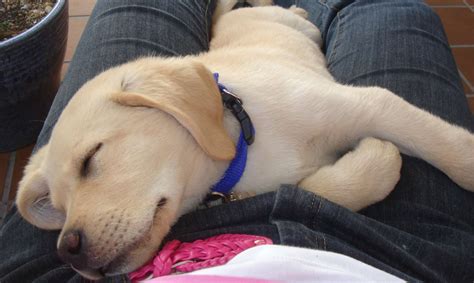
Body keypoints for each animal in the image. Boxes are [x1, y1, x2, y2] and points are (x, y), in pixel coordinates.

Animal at [14, 0, 474, 280]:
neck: (244, 143)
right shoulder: (277, 188)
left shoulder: (369, 103)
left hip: (297, 28)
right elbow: (321, 189)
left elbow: (437, 140)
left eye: (91, 158)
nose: (68, 251)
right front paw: (374, 159)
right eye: (59, 207)